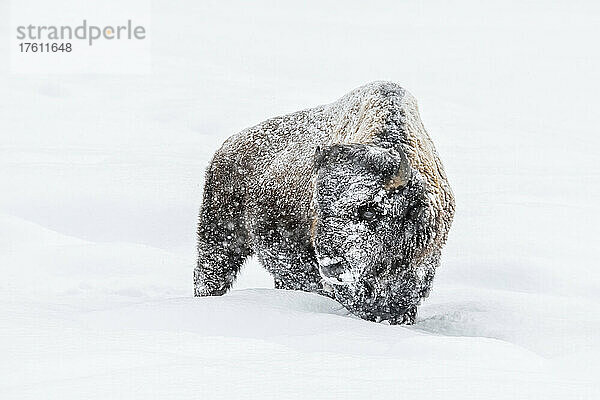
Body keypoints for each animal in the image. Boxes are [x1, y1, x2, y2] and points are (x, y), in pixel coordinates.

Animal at [195, 81, 452, 324]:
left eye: (370, 210)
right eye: (318, 209)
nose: (331, 264)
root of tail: (224, 150)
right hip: (220, 238)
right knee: (210, 275)